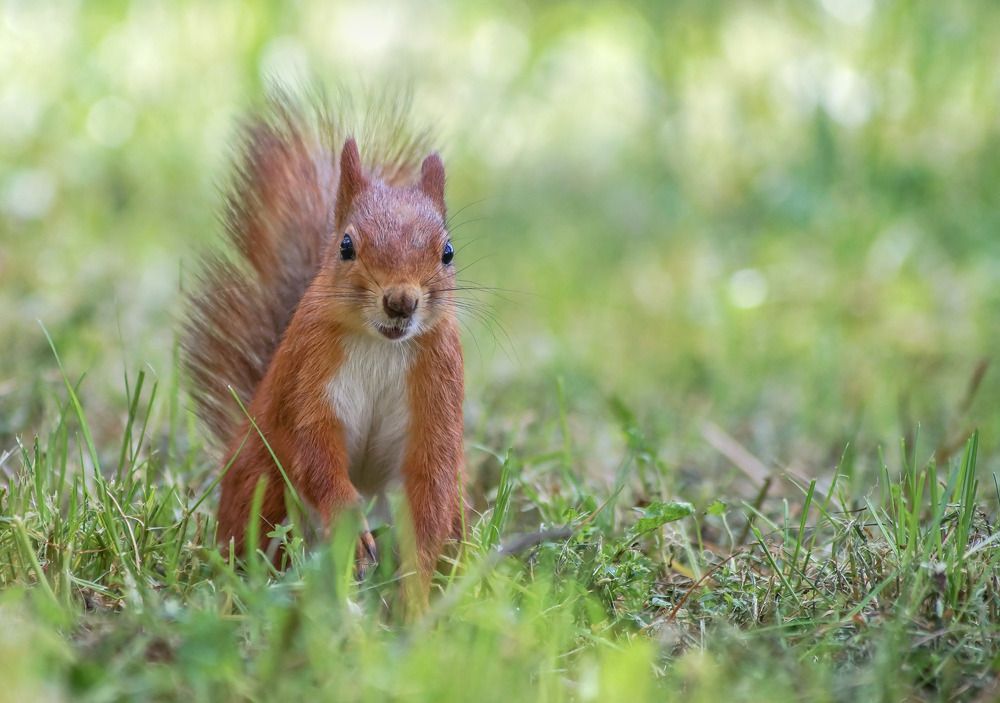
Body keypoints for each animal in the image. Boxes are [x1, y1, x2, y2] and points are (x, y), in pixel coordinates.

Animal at [181, 92, 465, 606]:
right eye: (346, 245)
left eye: (448, 252)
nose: (400, 301)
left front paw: (416, 596)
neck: (380, 345)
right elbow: (314, 452)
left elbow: (430, 484)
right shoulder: (307, 372)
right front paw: (353, 530)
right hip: (263, 488)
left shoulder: (440, 382)